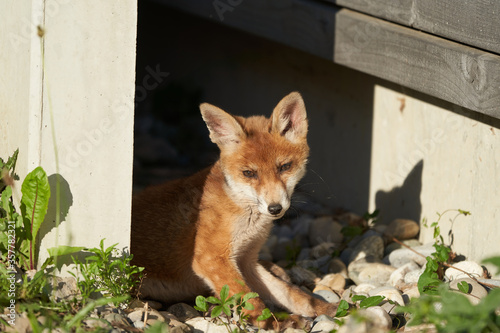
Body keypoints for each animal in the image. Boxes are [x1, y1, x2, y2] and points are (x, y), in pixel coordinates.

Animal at [131, 92, 338, 326]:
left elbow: (289, 293)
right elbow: (250, 300)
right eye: (249, 173)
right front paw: (275, 323)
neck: (248, 223)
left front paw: (324, 309)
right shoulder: (211, 258)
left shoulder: (246, 261)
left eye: (284, 167)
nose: (275, 208)